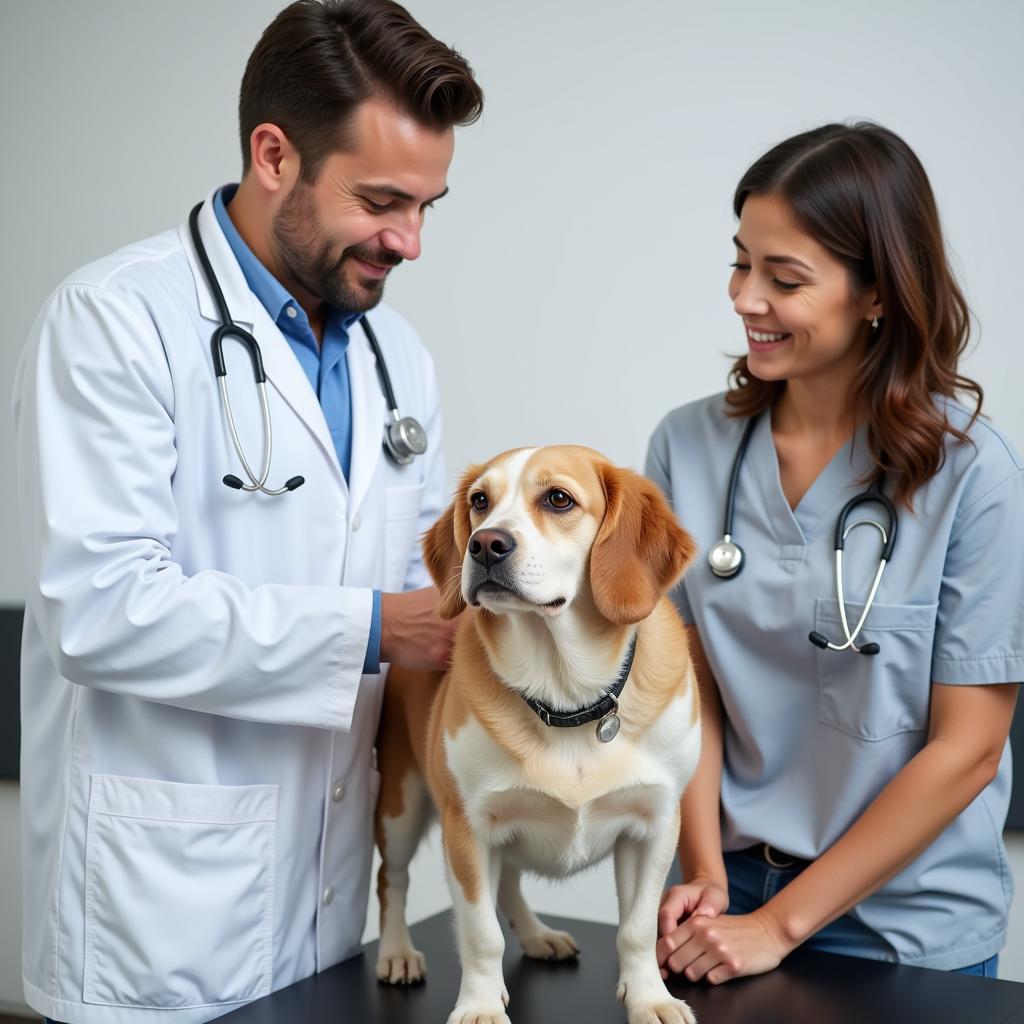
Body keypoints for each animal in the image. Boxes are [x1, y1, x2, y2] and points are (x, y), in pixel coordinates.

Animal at [376, 446, 704, 1024]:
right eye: (479, 501)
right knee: (393, 883)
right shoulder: (469, 828)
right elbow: (481, 933)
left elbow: (638, 929)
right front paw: (481, 1005)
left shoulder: (655, 825)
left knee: (508, 885)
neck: (566, 693)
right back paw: (396, 951)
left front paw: (650, 997)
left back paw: (536, 935)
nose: (485, 543)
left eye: (558, 499)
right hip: (402, 807)